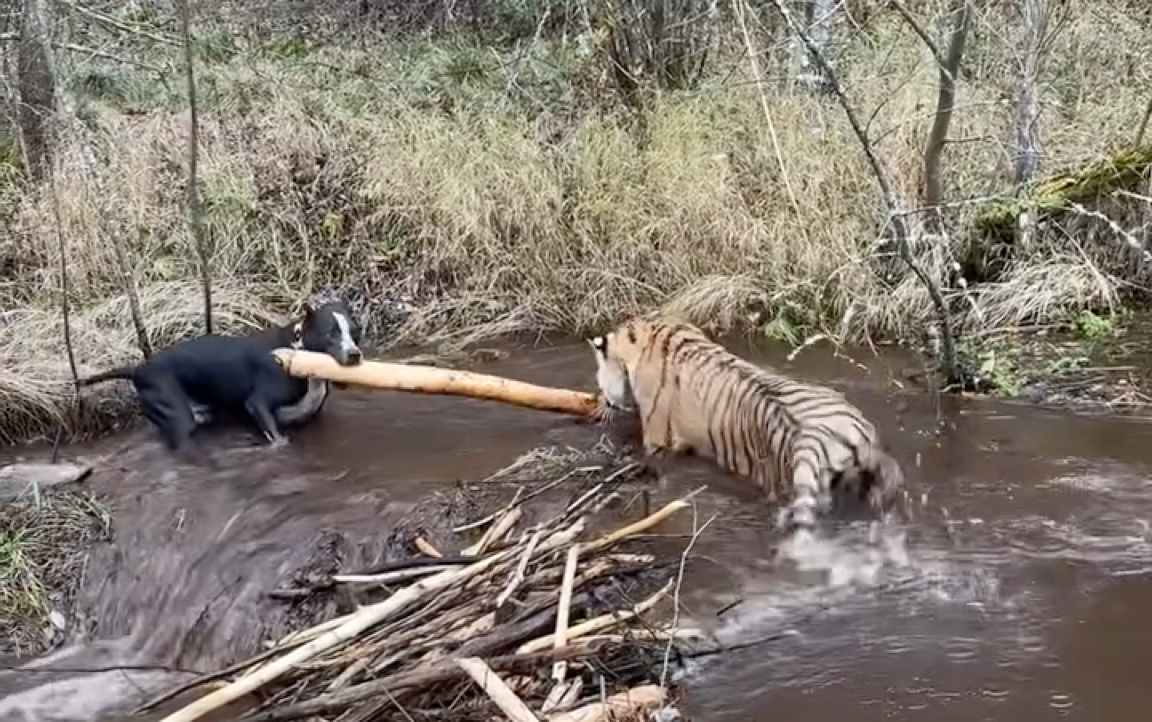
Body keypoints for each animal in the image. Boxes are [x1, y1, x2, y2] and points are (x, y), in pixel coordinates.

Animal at [76, 297, 361, 453]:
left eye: (355, 332)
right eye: (330, 333)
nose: (355, 354)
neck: (298, 349)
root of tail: (140, 368)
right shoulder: (258, 403)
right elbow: (275, 435)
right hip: (177, 417)